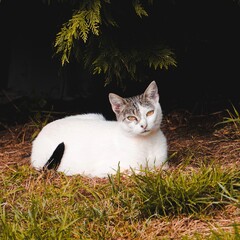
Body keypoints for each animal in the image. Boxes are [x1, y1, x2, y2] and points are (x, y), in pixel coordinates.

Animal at [30, 81, 168, 177]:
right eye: (131, 117)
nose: (144, 125)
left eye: (150, 113)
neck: (147, 144)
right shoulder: (109, 169)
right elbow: (139, 171)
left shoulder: (163, 163)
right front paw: (150, 172)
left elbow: (162, 167)